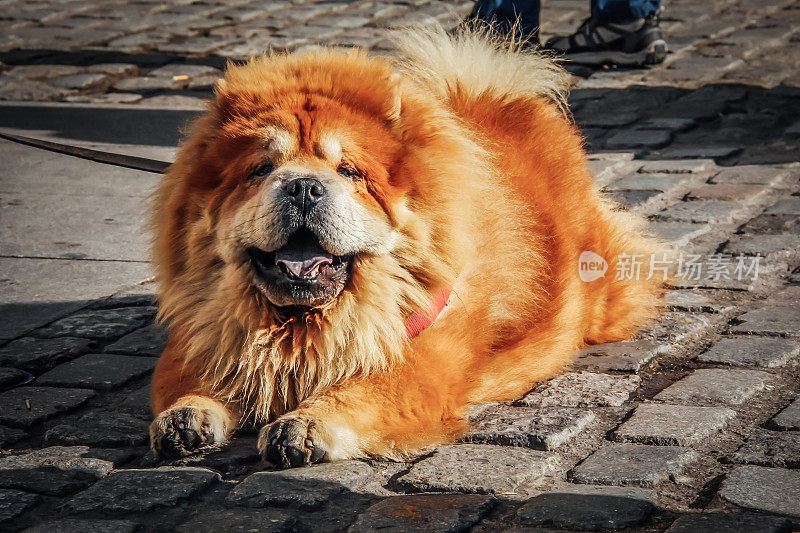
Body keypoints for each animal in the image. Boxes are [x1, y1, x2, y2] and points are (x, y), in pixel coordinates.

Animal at [150, 26, 664, 466]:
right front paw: (185, 416)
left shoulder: (416, 363)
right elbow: (192, 378)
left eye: (349, 172)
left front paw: (303, 427)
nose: (303, 187)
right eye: (261, 169)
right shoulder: (209, 332)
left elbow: (360, 390)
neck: (301, 326)